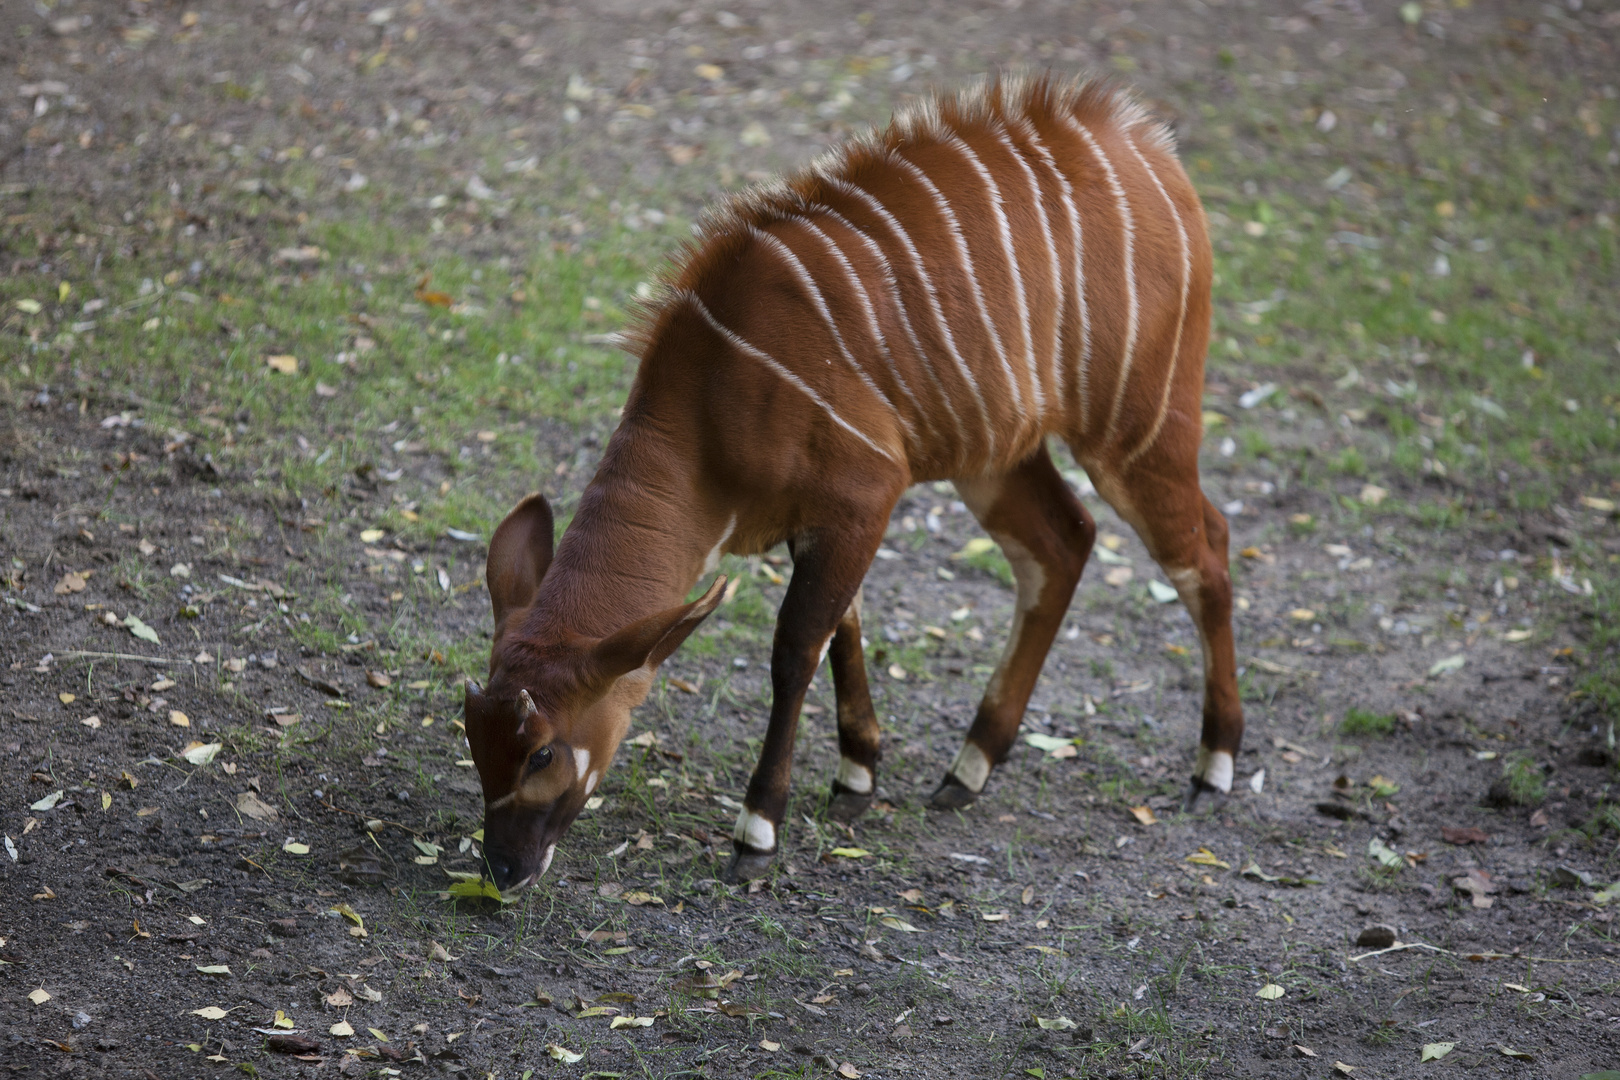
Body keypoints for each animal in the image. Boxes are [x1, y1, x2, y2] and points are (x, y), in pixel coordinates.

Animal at [463, 74, 1244, 887]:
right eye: (473, 739)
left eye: (542, 752)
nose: (503, 869)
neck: (710, 401)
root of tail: (1153, 147)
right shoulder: (821, 520)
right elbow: (846, 628)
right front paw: (857, 778)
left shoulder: (866, 494)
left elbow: (796, 648)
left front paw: (757, 832)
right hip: (995, 454)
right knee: (1064, 541)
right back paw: (969, 767)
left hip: (1137, 428)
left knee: (1204, 547)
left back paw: (1214, 764)